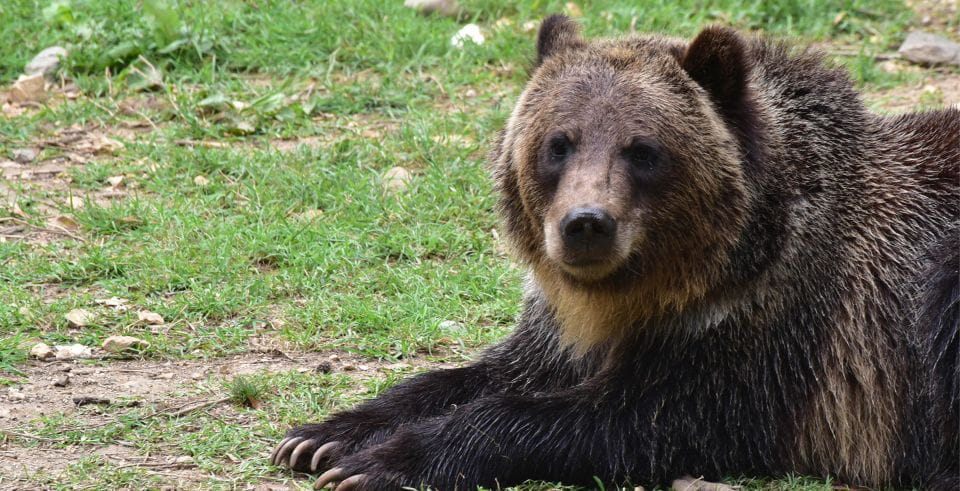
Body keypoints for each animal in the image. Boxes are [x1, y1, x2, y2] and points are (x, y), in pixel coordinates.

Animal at [271, 15, 960, 490]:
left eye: (643, 150)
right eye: (559, 143)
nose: (585, 224)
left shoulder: (764, 339)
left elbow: (622, 418)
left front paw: (381, 464)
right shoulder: (563, 328)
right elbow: (482, 373)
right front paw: (322, 438)